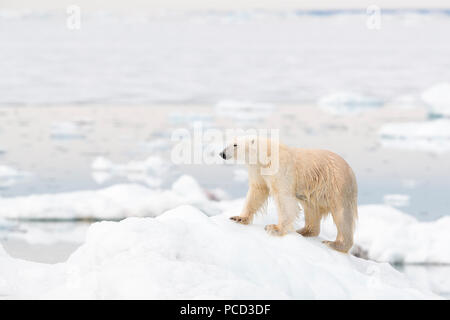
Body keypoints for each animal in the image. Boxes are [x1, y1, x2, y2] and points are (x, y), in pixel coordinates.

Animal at [221, 136, 358, 254]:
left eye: (235, 145)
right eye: (228, 142)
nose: (222, 154)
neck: (266, 155)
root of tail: (351, 171)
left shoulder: (281, 169)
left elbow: (283, 197)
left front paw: (274, 228)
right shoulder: (258, 170)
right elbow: (258, 190)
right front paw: (238, 218)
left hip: (336, 186)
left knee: (342, 214)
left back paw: (335, 244)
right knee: (311, 208)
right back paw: (305, 231)